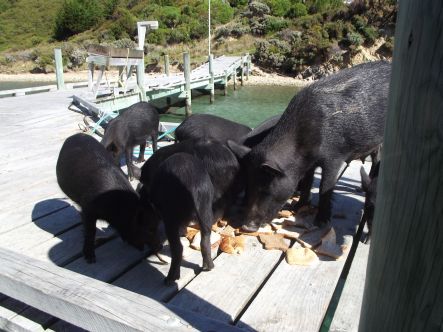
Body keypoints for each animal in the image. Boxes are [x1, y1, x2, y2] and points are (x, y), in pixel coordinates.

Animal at [56, 134, 150, 264]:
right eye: (138, 226)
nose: (143, 248)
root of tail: (75, 135)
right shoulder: (88, 208)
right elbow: (91, 231)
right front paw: (90, 259)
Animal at [142, 153, 217, 286]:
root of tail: (192, 185)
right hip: (206, 211)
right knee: (205, 240)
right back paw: (209, 266)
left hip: (171, 219)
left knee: (178, 248)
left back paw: (171, 278)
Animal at [231, 60, 390, 231]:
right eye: (249, 185)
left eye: (266, 189)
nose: (247, 227)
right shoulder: (307, 164)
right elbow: (307, 183)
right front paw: (296, 207)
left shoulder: (335, 157)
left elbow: (324, 187)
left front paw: (321, 222)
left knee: (377, 158)